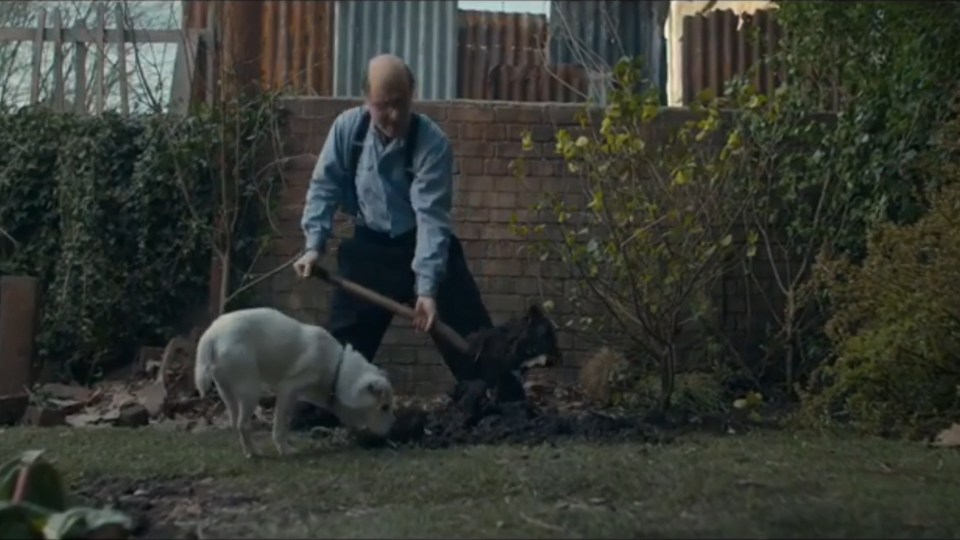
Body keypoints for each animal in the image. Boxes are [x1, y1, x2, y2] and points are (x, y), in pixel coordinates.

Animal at [193, 308, 396, 456]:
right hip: (250, 392)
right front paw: (284, 449)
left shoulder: (293, 395)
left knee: (235, 423)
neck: (336, 368)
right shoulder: (287, 391)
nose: (390, 431)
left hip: (227, 392)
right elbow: (280, 426)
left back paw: (247, 450)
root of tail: (212, 333)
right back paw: (254, 453)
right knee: (242, 425)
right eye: (384, 407)